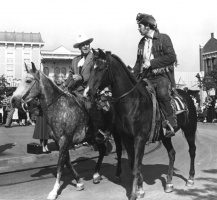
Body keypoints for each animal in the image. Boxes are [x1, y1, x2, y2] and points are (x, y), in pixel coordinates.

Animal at [11, 63, 122, 200]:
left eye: (28, 80)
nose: (13, 100)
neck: (60, 107)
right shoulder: (60, 141)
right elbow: (67, 162)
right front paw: (79, 182)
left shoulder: (65, 140)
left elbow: (60, 165)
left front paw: (54, 191)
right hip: (95, 136)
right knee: (102, 150)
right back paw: (96, 175)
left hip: (116, 133)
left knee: (119, 150)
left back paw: (117, 174)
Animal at [85, 48, 198, 200]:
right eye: (91, 68)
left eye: (101, 68)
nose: (87, 93)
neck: (132, 103)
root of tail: (187, 94)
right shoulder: (126, 138)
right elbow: (132, 164)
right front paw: (139, 188)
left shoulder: (140, 139)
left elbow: (136, 166)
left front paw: (134, 193)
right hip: (165, 136)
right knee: (172, 153)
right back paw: (168, 182)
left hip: (189, 129)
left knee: (192, 150)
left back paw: (190, 179)